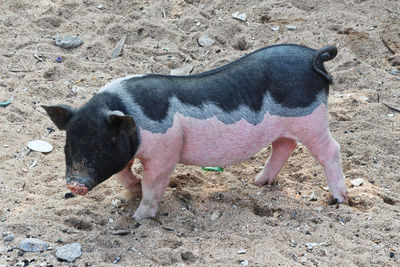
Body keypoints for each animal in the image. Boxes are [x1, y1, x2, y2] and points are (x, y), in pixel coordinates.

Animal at [43, 44, 346, 222]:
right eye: (68, 146)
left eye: (102, 146)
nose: (74, 184)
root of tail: (312, 56)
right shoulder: (126, 152)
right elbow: (123, 173)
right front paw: (133, 190)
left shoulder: (165, 152)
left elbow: (154, 184)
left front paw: (138, 218)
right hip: (287, 126)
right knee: (284, 146)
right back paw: (258, 183)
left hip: (311, 119)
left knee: (330, 150)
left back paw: (339, 200)